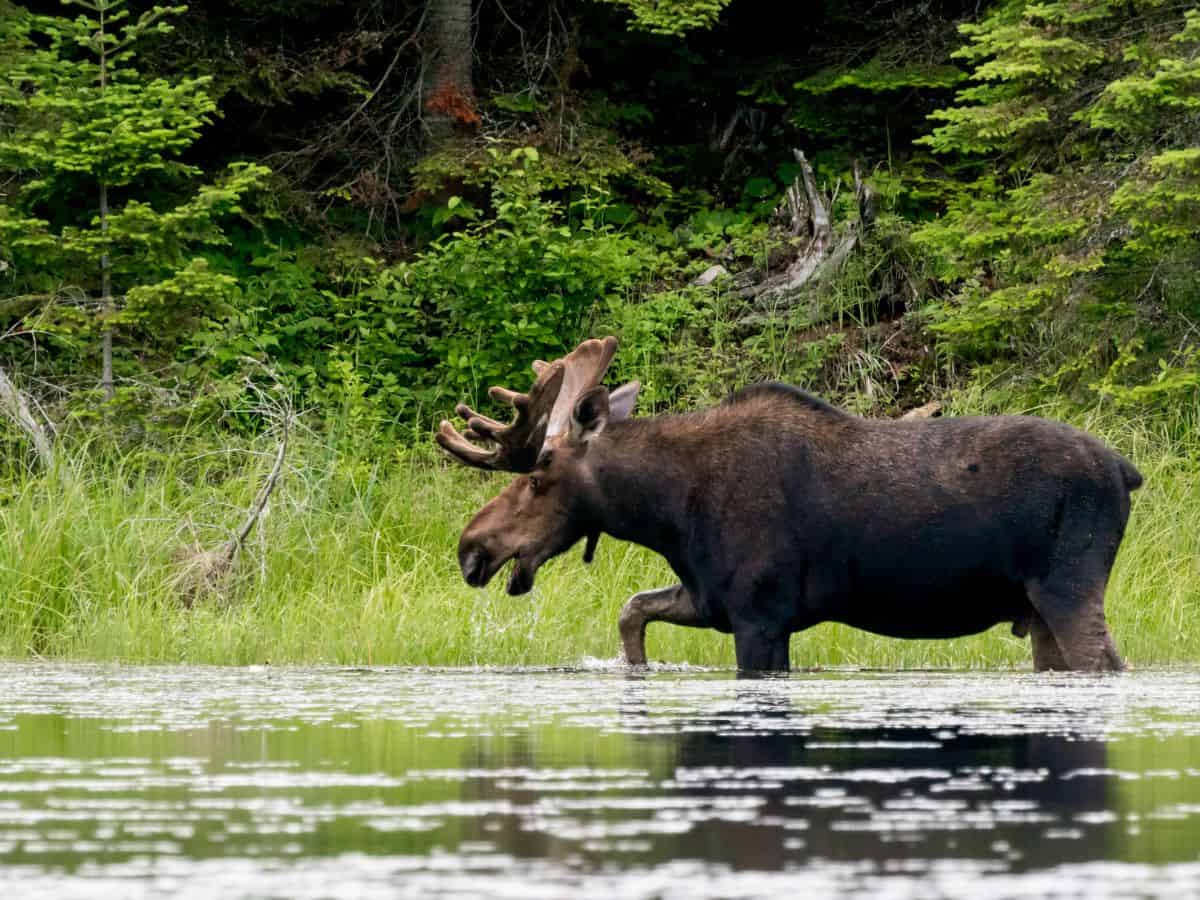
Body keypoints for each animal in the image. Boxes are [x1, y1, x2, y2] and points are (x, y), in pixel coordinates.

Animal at [436, 337, 1142, 673]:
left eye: (540, 473)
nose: (472, 547)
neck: (666, 512)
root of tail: (1127, 473)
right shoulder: (710, 599)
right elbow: (631, 611)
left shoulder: (762, 616)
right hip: (1036, 609)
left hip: (1069, 585)